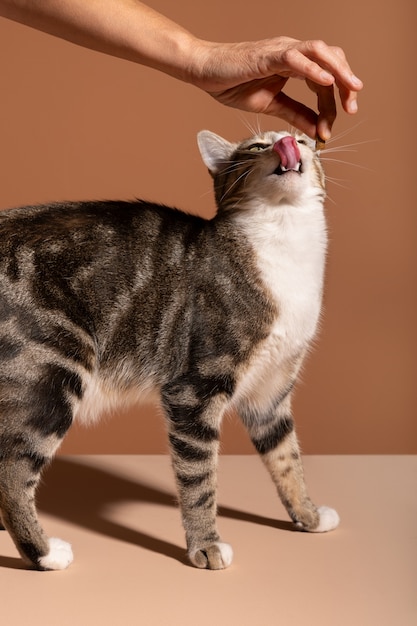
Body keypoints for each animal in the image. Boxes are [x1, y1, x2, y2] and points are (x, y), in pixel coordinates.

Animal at [0, 129, 338, 568]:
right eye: (257, 146)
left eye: (302, 139)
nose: (286, 140)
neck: (285, 246)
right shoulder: (194, 389)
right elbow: (199, 478)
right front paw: (206, 545)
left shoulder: (271, 391)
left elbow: (287, 459)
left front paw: (308, 516)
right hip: (49, 371)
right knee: (12, 471)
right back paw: (43, 553)